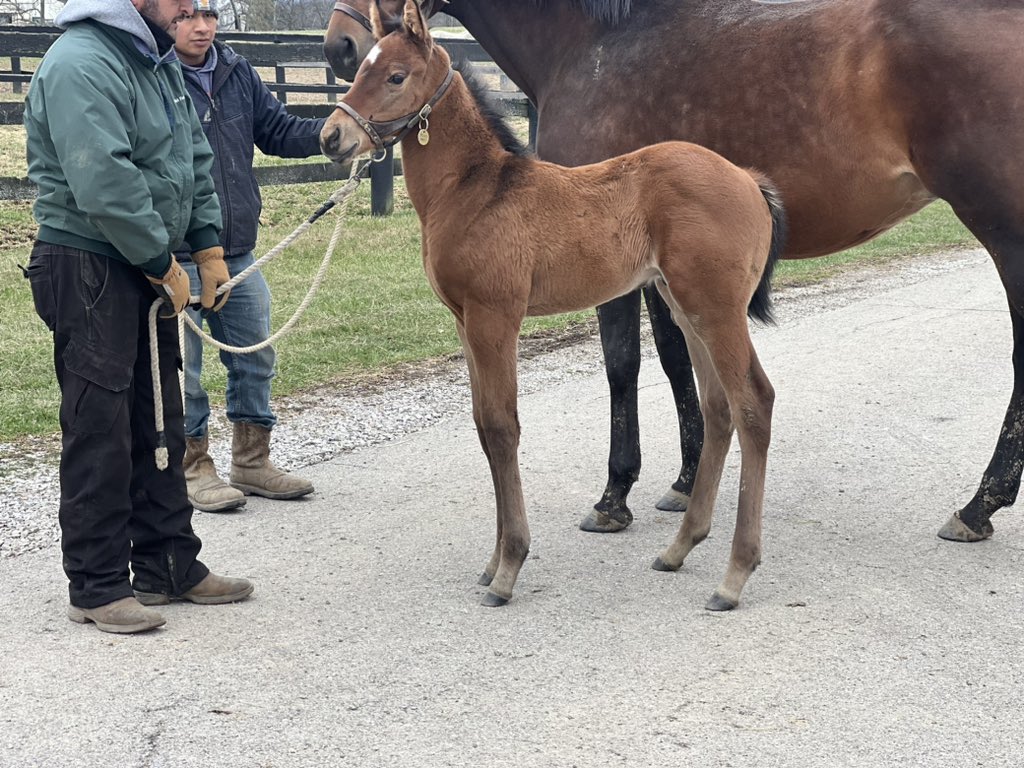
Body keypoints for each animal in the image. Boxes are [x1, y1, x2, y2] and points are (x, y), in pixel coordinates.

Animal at [323, 0, 786, 614]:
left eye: (396, 76)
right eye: (361, 67)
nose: (331, 136)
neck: (476, 190)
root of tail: (749, 180)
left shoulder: (495, 317)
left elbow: (502, 428)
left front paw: (508, 570)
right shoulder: (465, 322)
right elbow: (482, 426)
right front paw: (492, 562)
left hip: (716, 308)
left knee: (754, 402)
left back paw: (733, 576)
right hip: (684, 305)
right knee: (718, 408)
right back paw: (678, 548)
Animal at [325, 0, 1024, 548]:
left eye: (394, 71)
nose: (338, 46)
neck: (589, 44)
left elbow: (623, 365)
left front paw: (615, 495)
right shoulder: (656, 270)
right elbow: (674, 358)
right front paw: (686, 482)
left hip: (1004, 229)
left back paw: (979, 505)